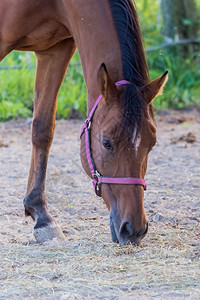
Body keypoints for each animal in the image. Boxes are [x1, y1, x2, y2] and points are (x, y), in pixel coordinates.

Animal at [0, 0, 168, 246]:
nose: (135, 229)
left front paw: (41, 215)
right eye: (107, 143)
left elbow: (42, 129)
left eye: (152, 144)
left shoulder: (55, 50)